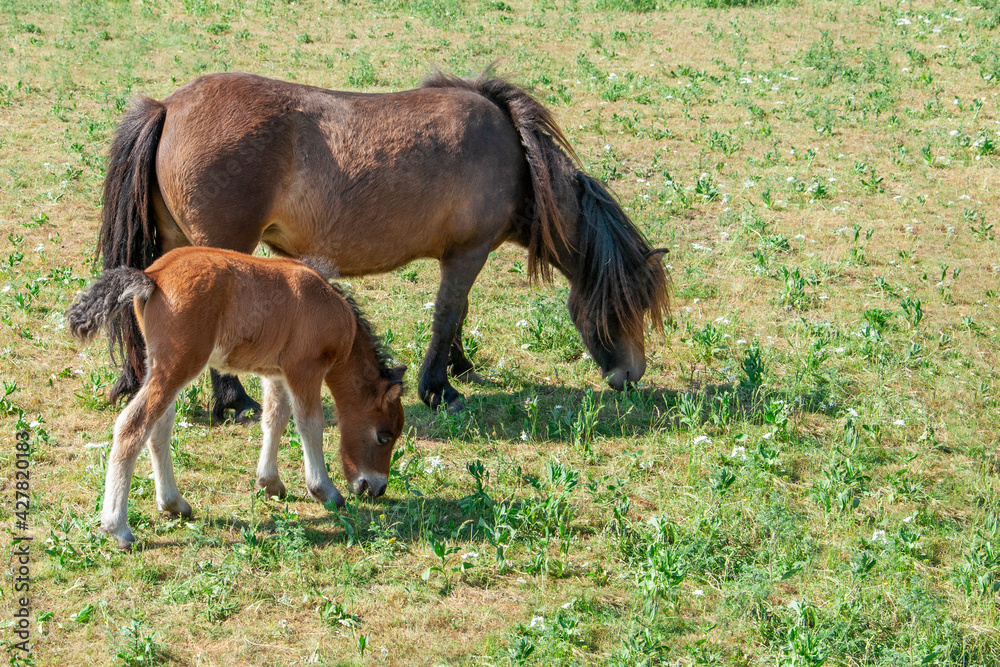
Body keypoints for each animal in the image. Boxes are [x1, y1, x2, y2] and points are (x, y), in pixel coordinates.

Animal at [67, 247, 406, 550]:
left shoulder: (276, 372)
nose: (377, 488)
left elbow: (275, 418)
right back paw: (118, 527)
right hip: (179, 365)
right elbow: (310, 424)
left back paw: (174, 503)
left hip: (162, 366)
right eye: (384, 436)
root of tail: (153, 276)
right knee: (132, 425)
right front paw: (325, 491)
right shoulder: (304, 369)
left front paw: (270, 482)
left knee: (159, 427)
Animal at [98, 68, 669, 418]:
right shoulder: (467, 254)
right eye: (626, 306)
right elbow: (448, 311)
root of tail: (168, 106)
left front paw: (459, 366)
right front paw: (439, 387)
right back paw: (235, 404)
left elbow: (457, 313)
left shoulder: (461, 256)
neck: (516, 156)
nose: (630, 375)